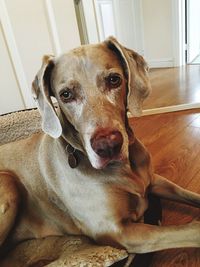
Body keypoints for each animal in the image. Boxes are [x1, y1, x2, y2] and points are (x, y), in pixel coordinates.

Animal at [0, 36, 200, 256]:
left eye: (114, 79)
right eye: (66, 94)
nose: (108, 146)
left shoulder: (155, 180)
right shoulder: (117, 231)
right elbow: (191, 230)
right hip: (7, 182)